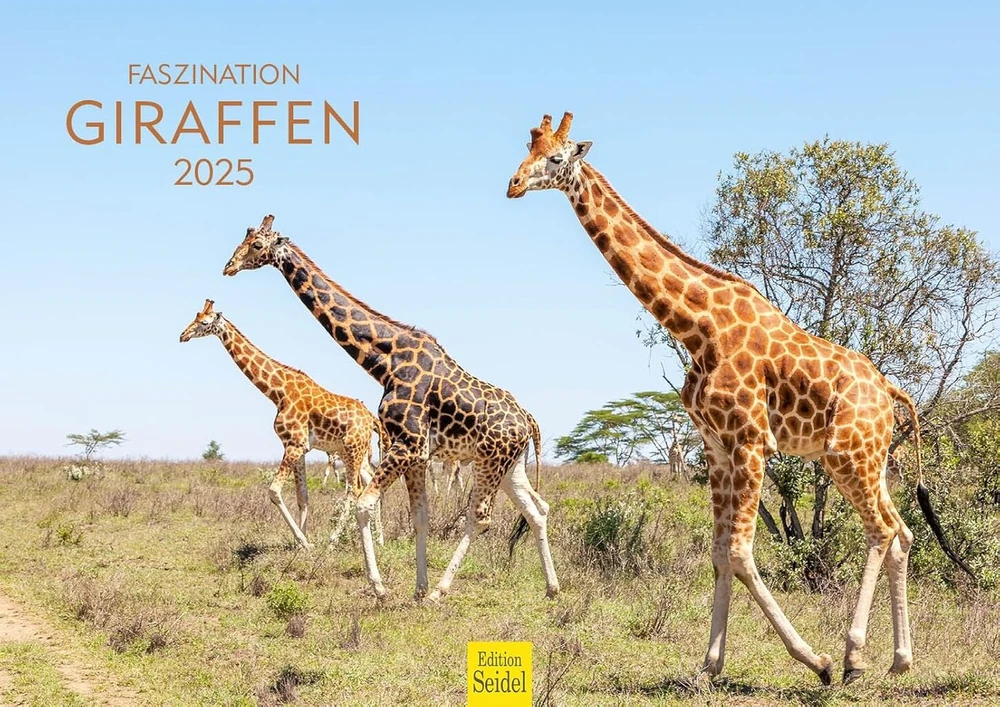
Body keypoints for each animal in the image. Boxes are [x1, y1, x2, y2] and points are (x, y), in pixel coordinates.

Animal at [179, 299, 384, 548]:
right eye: (195, 316)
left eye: (204, 322)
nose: (183, 335)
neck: (278, 392)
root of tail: (371, 418)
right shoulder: (300, 447)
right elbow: (302, 496)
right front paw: (302, 541)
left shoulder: (294, 445)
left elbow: (274, 491)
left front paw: (304, 542)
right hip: (352, 452)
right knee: (369, 483)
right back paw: (379, 540)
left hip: (353, 450)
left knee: (354, 490)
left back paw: (333, 540)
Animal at [221, 216, 559, 603]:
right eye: (244, 239)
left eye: (257, 245)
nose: (229, 266)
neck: (386, 361)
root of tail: (528, 420)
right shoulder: (418, 454)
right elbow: (420, 518)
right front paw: (417, 587)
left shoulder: (407, 445)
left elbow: (363, 504)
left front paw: (381, 587)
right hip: (508, 466)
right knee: (536, 510)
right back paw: (552, 587)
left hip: (491, 462)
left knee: (481, 517)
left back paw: (441, 591)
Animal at [506, 112, 975, 685]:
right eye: (527, 149)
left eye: (555, 158)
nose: (513, 185)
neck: (697, 326)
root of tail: (889, 389)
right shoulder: (717, 447)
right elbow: (717, 553)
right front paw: (710, 663)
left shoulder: (752, 443)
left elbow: (740, 551)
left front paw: (814, 661)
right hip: (869, 459)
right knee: (902, 532)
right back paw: (900, 659)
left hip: (847, 455)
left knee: (882, 530)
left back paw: (851, 656)